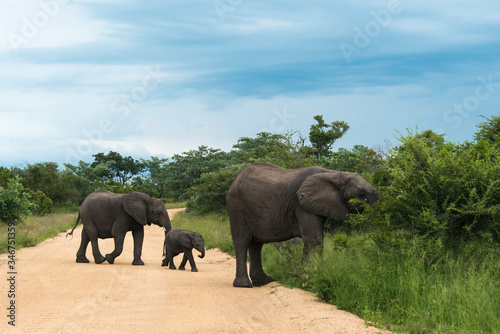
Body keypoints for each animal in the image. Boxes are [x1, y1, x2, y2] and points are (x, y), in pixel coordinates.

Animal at [225, 162, 376, 288]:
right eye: (362, 194)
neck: (334, 174)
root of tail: (235, 178)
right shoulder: (301, 204)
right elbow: (314, 240)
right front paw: (308, 279)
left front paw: (305, 277)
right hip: (237, 206)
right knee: (242, 241)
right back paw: (244, 285)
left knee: (256, 244)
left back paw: (264, 281)